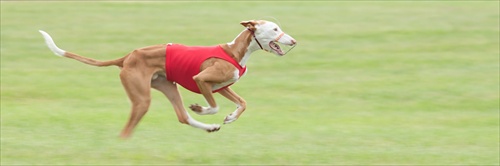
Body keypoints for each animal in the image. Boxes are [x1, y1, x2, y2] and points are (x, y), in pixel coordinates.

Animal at [40, 20, 296, 138]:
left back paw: (209, 127)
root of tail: (128, 57)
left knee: (182, 117)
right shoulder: (202, 79)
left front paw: (230, 117)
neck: (235, 52)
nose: (293, 41)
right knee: (127, 129)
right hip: (142, 99)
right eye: (274, 29)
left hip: (168, 86)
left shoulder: (221, 86)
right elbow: (213, 106)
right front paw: (202, 109)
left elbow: (242, 103)